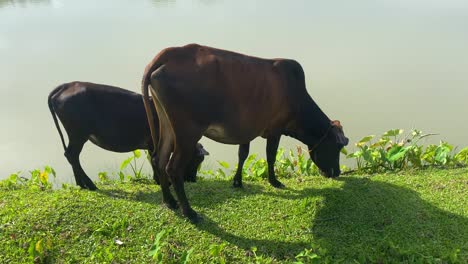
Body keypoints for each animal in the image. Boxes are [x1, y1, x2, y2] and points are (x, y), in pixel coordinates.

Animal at [48, 81, 207, 190]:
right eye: (197, 160)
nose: (193, 179)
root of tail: (66, 85)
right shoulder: (152, 144)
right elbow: (155, 161)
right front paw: (161, 181)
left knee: (72, 156)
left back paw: (81, 184)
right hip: (78, 134)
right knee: (72, 155)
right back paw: (89, 184)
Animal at [141, 43, 350, 221]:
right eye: (337, 146)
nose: (337, 172)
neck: (296, 99)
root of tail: (169, 53)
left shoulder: (245, 130)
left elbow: (243, 154)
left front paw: (237, 182)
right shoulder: (275, 129)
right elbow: (271, 156)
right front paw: (274, 181)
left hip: (167, 125)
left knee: (159, 159)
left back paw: (170, 201)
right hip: (188, 132)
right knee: (173, 168)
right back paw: (189, 212)